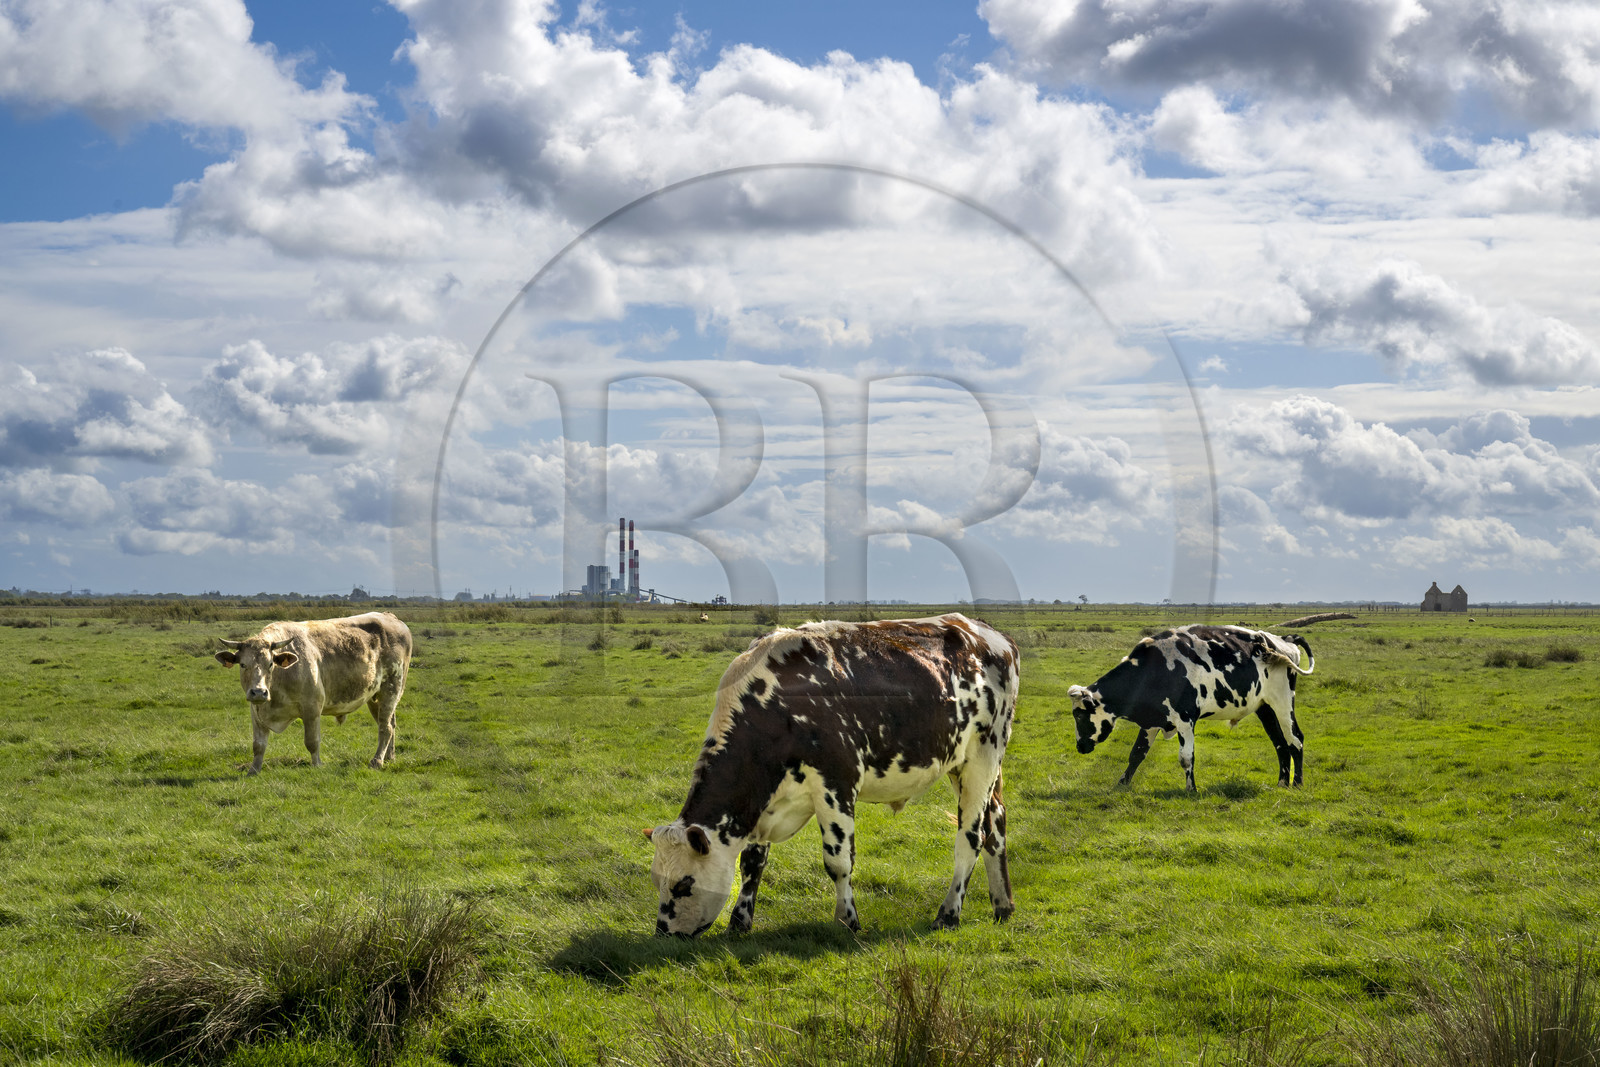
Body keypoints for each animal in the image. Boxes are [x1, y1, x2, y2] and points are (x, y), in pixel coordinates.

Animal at [213, 612, 412, 776]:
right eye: (243, 664)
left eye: (270, 664)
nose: (259, 692)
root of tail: (391, 617)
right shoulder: (256, 712)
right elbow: (258, 745)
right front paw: (253, 770)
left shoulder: (312, 708)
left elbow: (312, 741)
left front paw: (317, 765)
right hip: (374, 696)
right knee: (390, 724)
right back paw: (389, 757)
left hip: (392, 689)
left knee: (385, 727)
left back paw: (377, 761)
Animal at [646, 613, 1019, 938]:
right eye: (656, 880)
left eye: (683, 883)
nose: (665, 932)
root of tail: (989, 632)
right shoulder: (761, 798)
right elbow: (752, 862)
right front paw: (739, 922)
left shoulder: (836, 781)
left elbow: (838, 861)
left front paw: (847, 921)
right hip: (964, 763)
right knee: (996, 823)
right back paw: (1003, 905)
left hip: (984, 756)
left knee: (971, 837)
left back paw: (949, 914)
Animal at [1068, 625, 1314, 792]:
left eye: (1079, 716)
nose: (1080, 746)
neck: (1155, 670)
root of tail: (1282, 639)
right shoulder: (1151, 721)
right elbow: (1136, 753)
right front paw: (1122, 784)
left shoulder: (1185, 719)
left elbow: (1186, 757)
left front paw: (1191, 789)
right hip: (1264, 708)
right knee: (1280, 744)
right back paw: (1282, 783)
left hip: (1283, 702)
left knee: (1295, 739)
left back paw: (1297, 783)